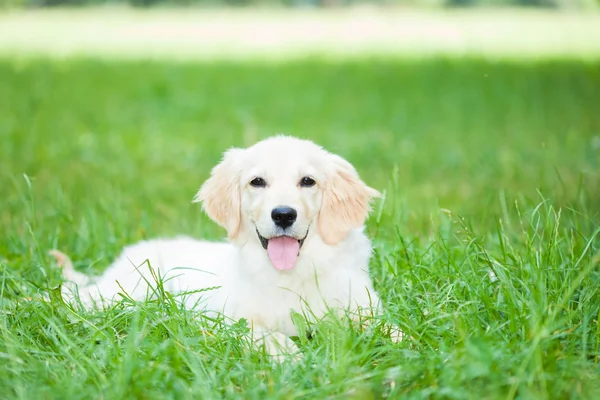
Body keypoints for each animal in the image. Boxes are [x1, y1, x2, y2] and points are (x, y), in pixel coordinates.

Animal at [51, 136, 398, 360]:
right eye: (257, 182)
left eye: (308, 181)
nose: (284, 215)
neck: (294, 273)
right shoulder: (229, 320)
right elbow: (266, 335)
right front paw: (291, 357)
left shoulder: (362, 309)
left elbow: (392, 330)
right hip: (125, 292)